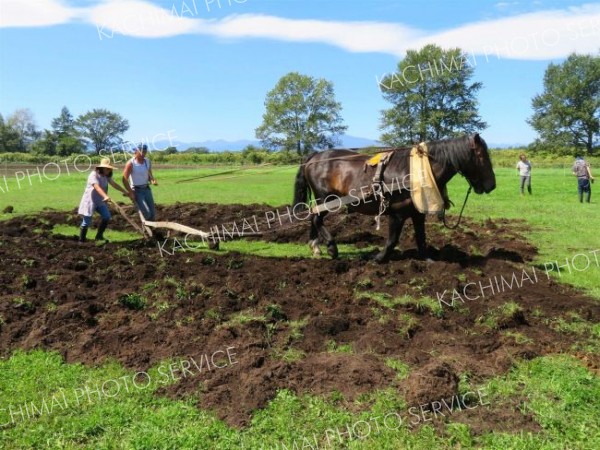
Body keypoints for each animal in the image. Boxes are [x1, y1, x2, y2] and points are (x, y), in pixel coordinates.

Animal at [292, 132, 496, 262]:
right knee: (317, 219)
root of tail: (315, 156)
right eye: (481, 155)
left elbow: (421, 237)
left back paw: (315, 245)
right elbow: (392, 240)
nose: (492, 185)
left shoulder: (417, 213)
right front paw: (379, 258)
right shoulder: (397, 214)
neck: (417, 172)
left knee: (314, 216)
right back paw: (331, 247)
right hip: (326, 198)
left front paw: (428, 259)